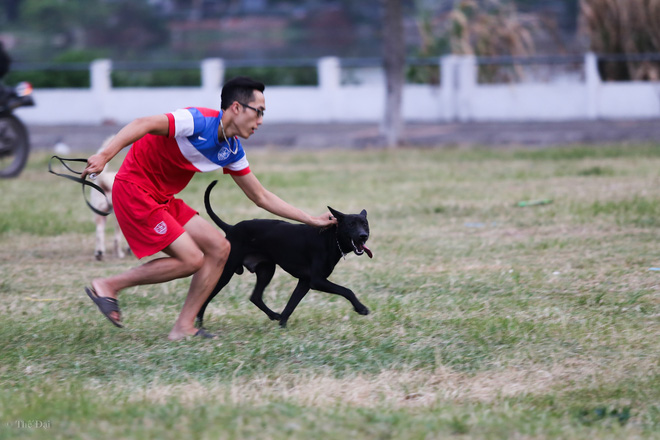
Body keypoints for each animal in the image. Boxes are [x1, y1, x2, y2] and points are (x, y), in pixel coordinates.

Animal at [196, 180, 372, 328]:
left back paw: (274, 315)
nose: (363, 236)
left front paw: (282, 325)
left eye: (365, 224)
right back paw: (199, 324)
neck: (330, 238)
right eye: (350, 224)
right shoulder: (317, 280)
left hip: (266, 270)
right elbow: (347, 290)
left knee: (255, 297)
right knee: (206, 295)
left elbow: (291, 305)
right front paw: (361, 308)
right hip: (227, 271)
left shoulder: (305, 282)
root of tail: (231, 228)